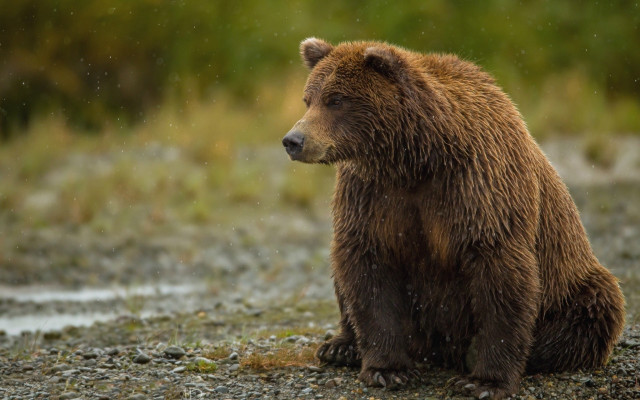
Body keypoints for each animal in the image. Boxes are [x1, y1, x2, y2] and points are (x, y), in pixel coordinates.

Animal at [282, 38, 625, 399]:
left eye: (335, 100)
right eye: (308, 99)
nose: (293, 140)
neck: (414, 159)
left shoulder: (479, 188)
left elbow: (500, 276)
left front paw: (484, 381)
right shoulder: (372, 196)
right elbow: (367, 268)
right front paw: (387, 370)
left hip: (572, 287)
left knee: (591, 311)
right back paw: (340, 346)